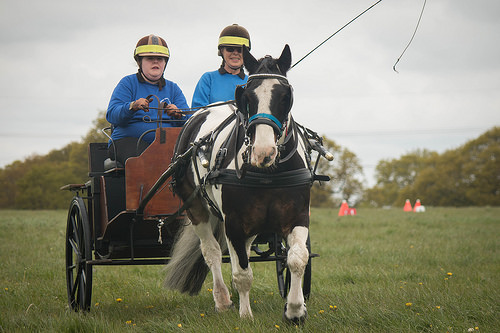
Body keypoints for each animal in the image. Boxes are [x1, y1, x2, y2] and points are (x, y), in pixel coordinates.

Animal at [164, 44, 312, 322]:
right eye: (247, 96)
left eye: (285, 95)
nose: (263, 152)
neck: (267, 173)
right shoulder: (233, 221)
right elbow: (242, 272)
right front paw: (246, 315)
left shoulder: (297, 215)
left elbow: (298, 258)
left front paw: (295, 310)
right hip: (198, 209)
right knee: (211, 252)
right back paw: (223, 300)